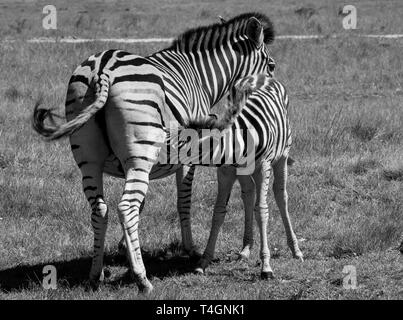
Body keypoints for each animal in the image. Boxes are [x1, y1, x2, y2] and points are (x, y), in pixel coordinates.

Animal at [33, 12, 276, 292]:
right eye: (271, 66)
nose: (274, 90)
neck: (200, 76)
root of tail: (102, 68)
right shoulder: (187, 155)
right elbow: (183, 202)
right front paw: (189, 249)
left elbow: (142, 207)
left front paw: (125, 251)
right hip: (139, 153)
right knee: (125, 207)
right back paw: (143, 279)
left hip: (89, 159)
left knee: (101, 209)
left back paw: (96, 274)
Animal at [180, 74, 304, 278]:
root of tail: (263, 75)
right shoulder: (226, 172)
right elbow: (218, 212)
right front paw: (204, 261)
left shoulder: (263, 167)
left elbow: (261, 211)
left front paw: (266, 266)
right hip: (244, 171)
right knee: (248, 194)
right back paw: (246, 248)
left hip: (282, 156)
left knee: (281, 196)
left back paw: (296, 250)